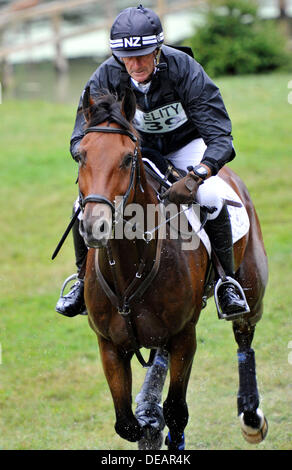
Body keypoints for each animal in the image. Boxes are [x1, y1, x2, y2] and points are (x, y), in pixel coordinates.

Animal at [76, 86, 268, 450]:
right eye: (80, 155)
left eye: (128, 157)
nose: (95, 225)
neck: (129, 268)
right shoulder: (109, 346)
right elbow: (128, 423)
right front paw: (148, 419)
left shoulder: (183, 338)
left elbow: (177, 409)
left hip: (252, 290)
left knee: (244, 337)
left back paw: (251, 415)